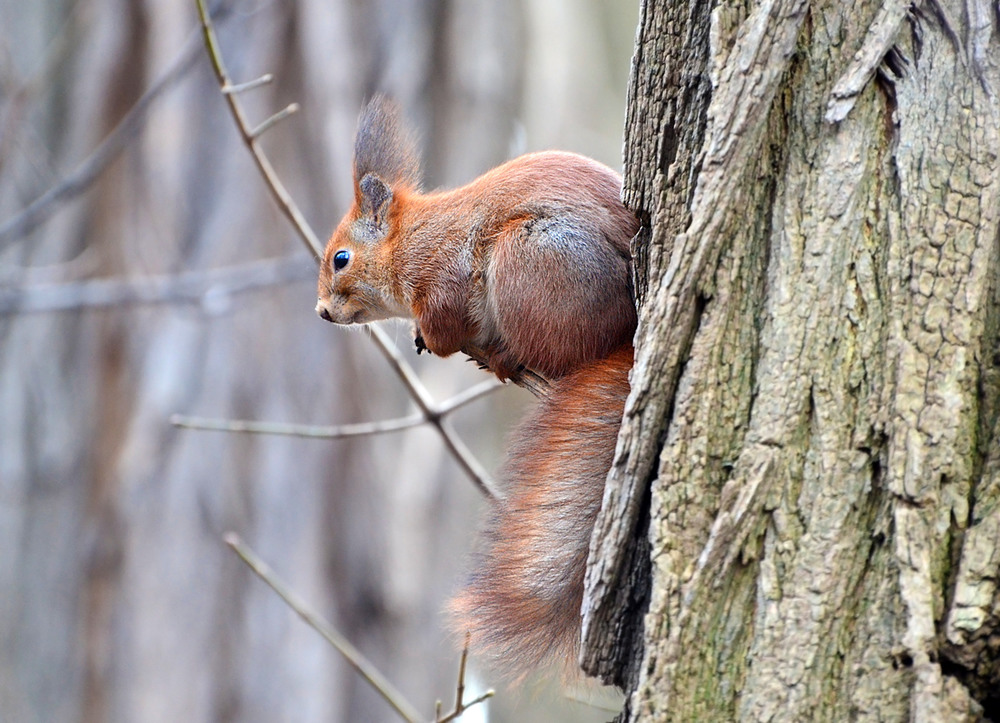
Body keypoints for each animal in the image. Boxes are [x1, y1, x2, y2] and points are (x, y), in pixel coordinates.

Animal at [316, 97, 636, 684]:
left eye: (341, 259)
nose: (323, 312)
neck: (408, 241)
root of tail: (623, 338)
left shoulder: (443, 275)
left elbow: (445, 322)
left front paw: (432, 339)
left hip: (529, 263)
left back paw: (509, 358)